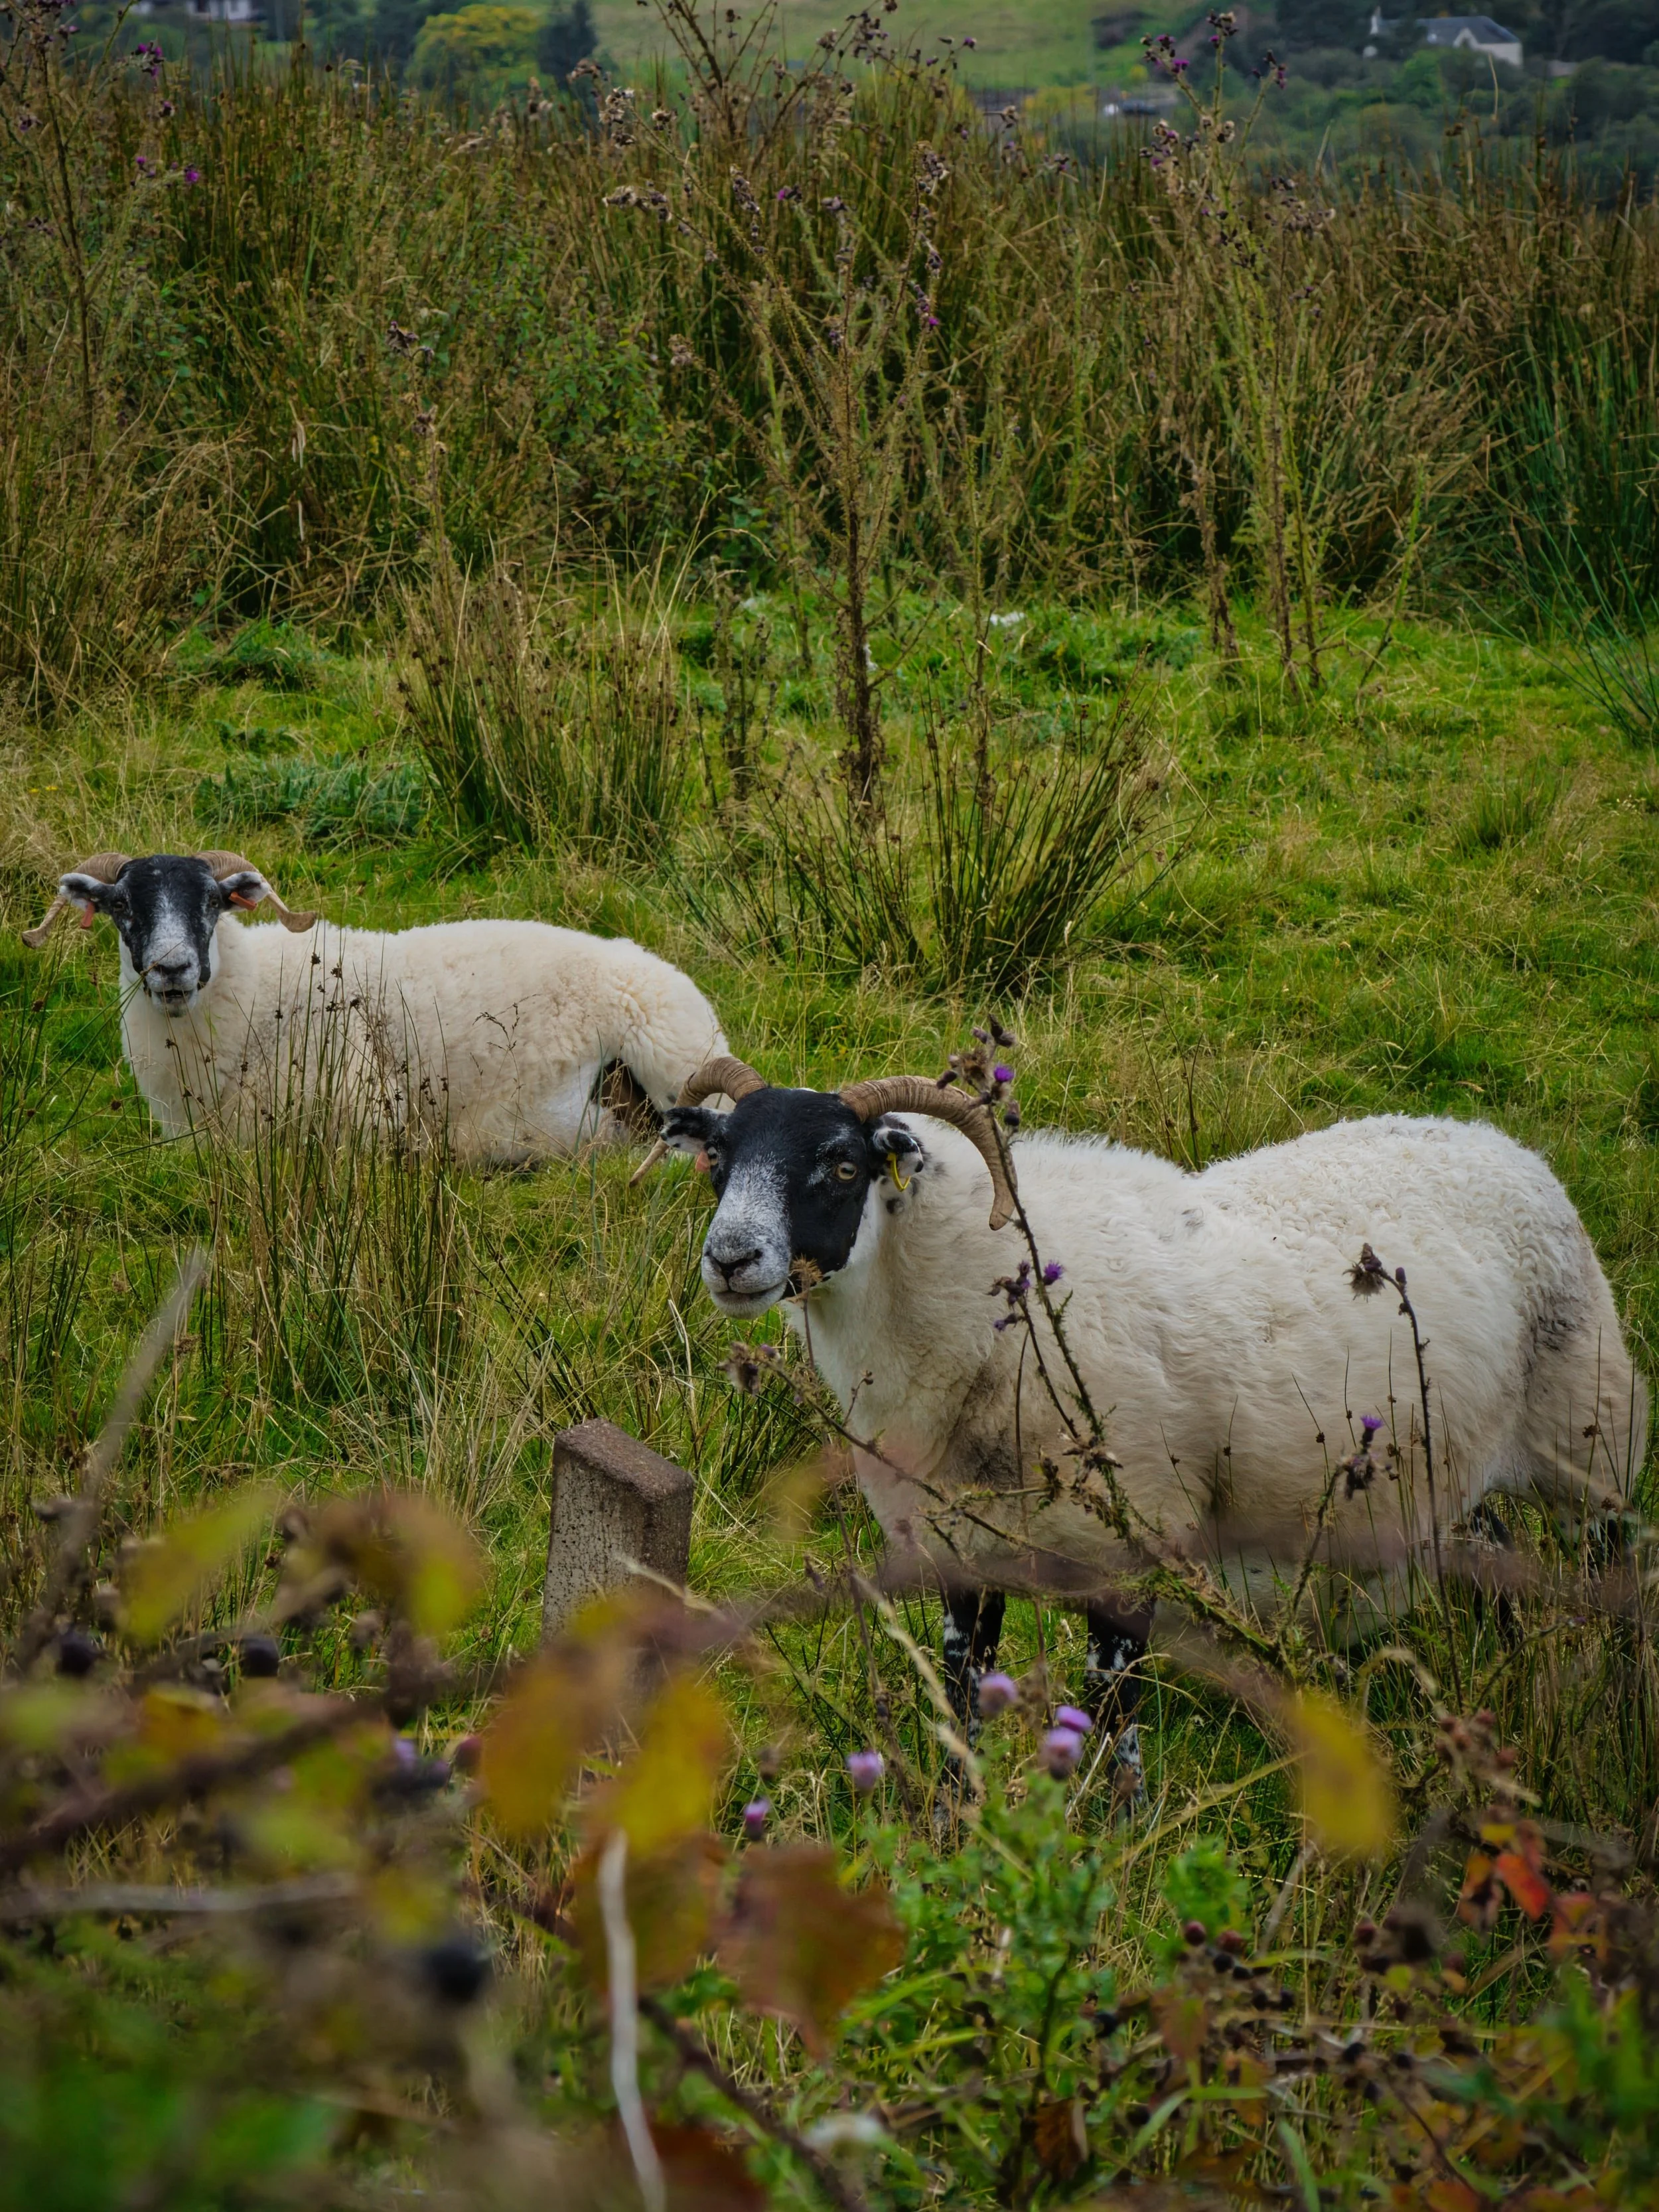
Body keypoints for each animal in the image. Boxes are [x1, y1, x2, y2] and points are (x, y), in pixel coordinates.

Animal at [23, 850, 728, 1165]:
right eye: (120, 905)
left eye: (213, 902)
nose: (173, 969)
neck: (258, 992)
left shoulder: (364, 1117)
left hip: (677, 1064)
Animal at [647, 1054, 1649, 1781]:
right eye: (718, 1162)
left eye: (843, 1164)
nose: (731, 1260)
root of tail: (1504, 1148)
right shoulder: (958, 1555)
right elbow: (962, 1709)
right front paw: (960, 1837)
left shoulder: (1135, 1546)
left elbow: (1112, 1724)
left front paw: (1098, 1840)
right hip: (1456, 1466)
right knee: (1496, 1561)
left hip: (1591, 1433)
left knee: (1619, 1561)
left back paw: (1616, 1714)